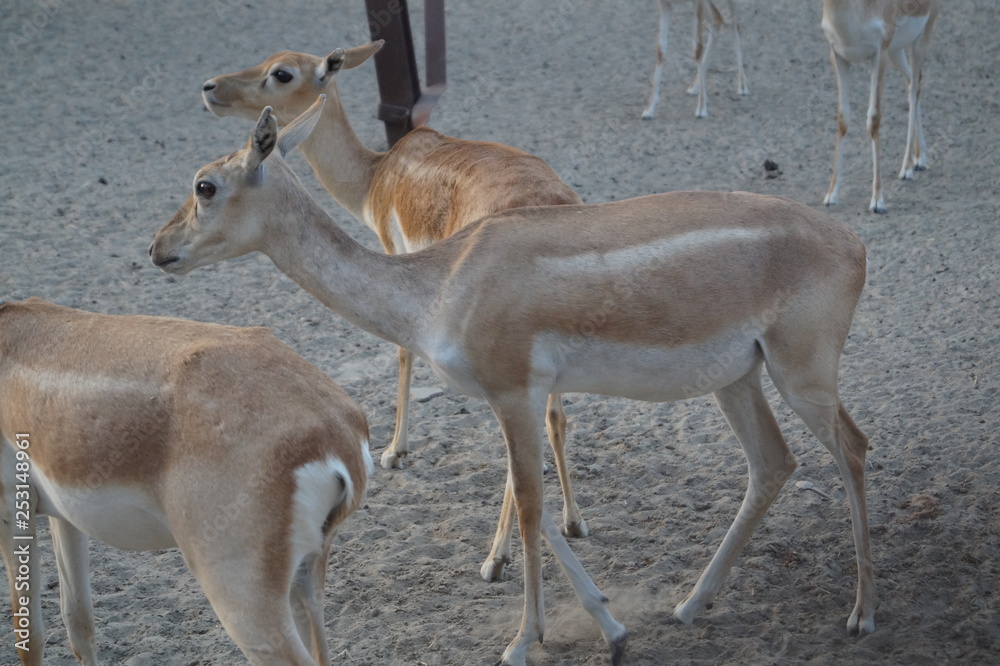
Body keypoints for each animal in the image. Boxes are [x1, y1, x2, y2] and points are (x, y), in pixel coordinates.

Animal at [0, 298, 372, 666]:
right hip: (304, 574)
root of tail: (337, 431)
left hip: (244, 604)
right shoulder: (64, 516)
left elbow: (29, 638)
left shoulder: (11, 510)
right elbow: (79, 622)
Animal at [150, 97, 875, 666]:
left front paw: (523, 642)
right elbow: (539, 508)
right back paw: (691, 604)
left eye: (206, 185)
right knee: (773, 464)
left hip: (802, 371)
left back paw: (861, 615)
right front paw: (611, 628)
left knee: (853, 448)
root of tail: (853, 244)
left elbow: (529, 506)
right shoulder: (509, 402)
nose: (158, 250)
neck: (441, 287)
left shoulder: (515, 392)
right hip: (738, 379)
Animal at [200, 40, 590, 568]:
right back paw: (571, 522)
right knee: (553, 417)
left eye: (281, 73)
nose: (210, 88)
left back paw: (495, 559)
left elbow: (402, 351)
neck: (375, 177)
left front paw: (394, 451)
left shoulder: (395, 254)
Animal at [821, 0, 939, 213]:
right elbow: (843, 118)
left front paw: (877, 200)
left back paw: (906, 168)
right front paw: (831, 194)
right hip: (896, 51)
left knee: (914, 88)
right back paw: (920, 159)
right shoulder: (838, 55)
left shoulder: (878, 54)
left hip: (919, 41)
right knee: (913, 82)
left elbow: (874, 119)